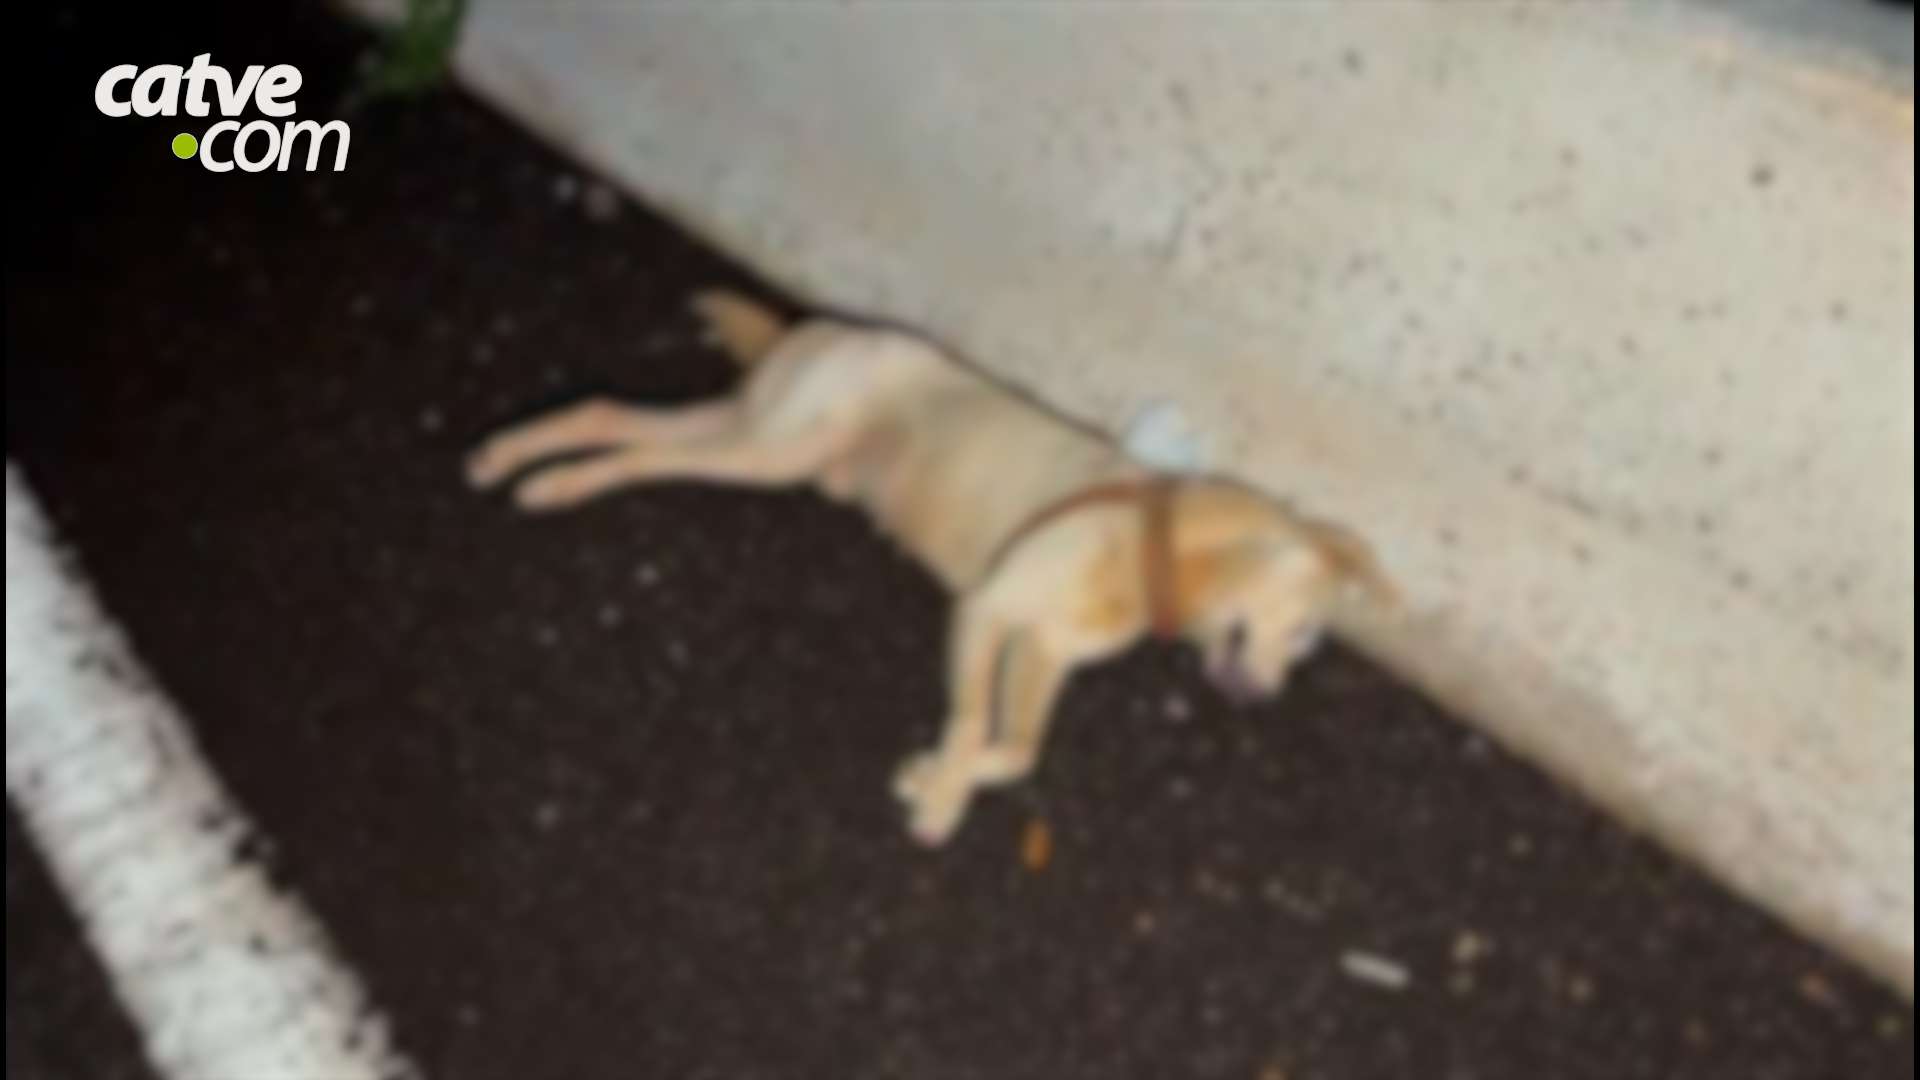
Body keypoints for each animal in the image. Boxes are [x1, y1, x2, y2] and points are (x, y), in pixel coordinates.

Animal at [467, 291, 1395, 845]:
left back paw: (507, 457)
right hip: (776, 451)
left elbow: (1015, 751)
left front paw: (935, 781)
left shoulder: (1041, 651)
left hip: (757, 433)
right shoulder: (988, 609)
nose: (1268, 698)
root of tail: (823, 325)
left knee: (607, 409)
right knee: (644, 458)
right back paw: (553, 486)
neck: (1151, 543)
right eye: (1304, 633)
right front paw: (940, 796)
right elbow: (973, 722)